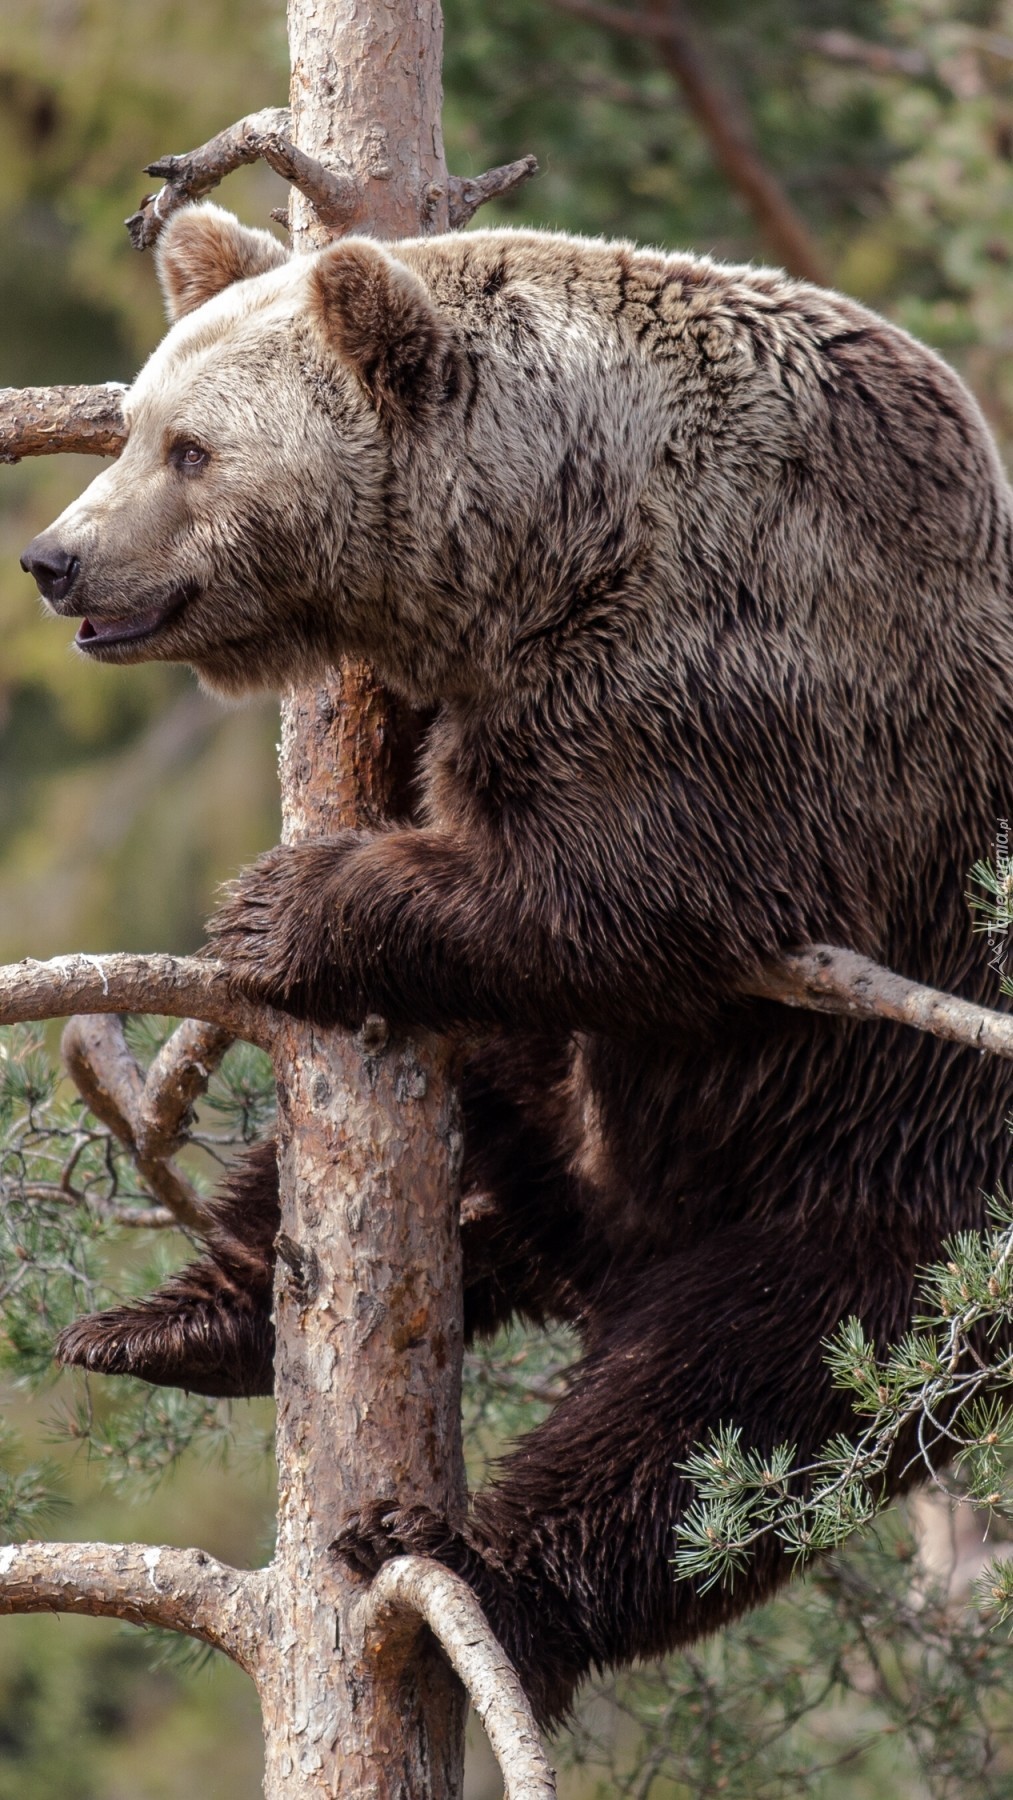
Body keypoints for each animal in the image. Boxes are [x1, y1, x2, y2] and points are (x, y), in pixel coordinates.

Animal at [19, 200, 1013, 1728]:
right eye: (129, 426)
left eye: (190, 449)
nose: (56, 558)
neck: (550, 541)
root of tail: (605, 1249)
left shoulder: (738, 670)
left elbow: (637, 892)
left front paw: (277, 906)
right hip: (571, 1120)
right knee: (419, 1138)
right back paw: (174, 1322)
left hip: (894, 1181)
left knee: (725, 1413)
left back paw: (465, 1570)